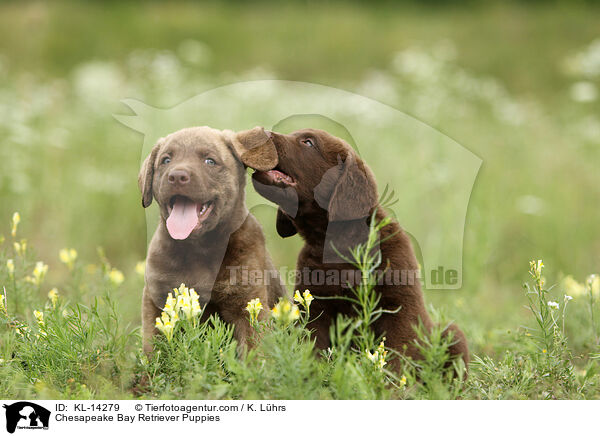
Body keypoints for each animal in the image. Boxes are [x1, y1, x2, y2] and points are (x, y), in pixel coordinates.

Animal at [138, 126, 286, 354]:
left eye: (210, 161)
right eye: (166, 160)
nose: (177, 176)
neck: (197, 249)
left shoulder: (248, 304)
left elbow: (254, 352)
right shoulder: (156, 301)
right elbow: (154, 350)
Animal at [248, 127, 468, 370]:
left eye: (308, 142)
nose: (261, 133)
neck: (342, 243)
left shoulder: (399, 307)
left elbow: (396, 354)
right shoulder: (316, 305)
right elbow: (314, 346)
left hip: (452, 335)